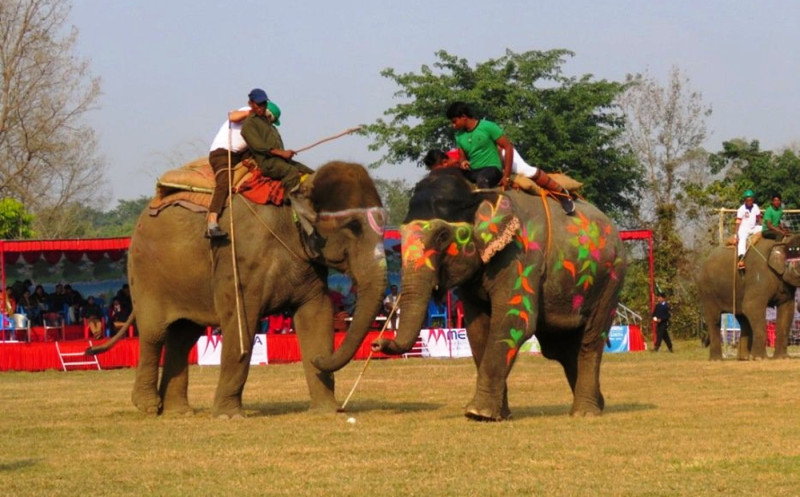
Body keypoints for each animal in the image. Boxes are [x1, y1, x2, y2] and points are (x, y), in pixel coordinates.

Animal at [92, 161, 386, 416]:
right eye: (354, 227)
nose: (376, 343)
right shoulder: (239, 257)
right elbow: (240, 319)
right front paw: (228, 416)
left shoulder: (309, 263)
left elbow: (317, 315)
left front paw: (326, 411)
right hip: (145, 273)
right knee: (154, 333)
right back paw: (148, 406)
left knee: (183, 336)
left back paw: (179, 412)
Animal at [372, 170, 628, 418]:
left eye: (442, 235)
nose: (376, 342)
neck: (480, 192)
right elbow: (477, 329)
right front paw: (498, 414)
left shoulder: (521, 257)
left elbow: (513, 321)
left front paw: (478, 413)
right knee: (562, 349)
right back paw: (598, 403)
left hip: (610, 279)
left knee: (589, 341)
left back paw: (585, 412)